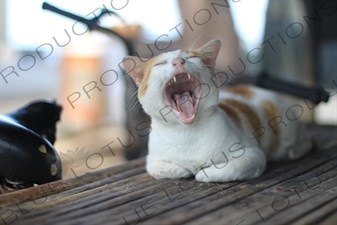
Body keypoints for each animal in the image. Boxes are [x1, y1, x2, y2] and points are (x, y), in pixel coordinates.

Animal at [122, 39, 312, 183]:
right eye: (161, 64)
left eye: (190, 57)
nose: (179, 61)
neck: (187, 132)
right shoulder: (153, 161)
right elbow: (167, 169)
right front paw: (187, 169)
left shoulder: (254, 155)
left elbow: (225, 169)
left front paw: (202, 172)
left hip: (286, 122)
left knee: (306, 140)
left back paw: (295, 151)